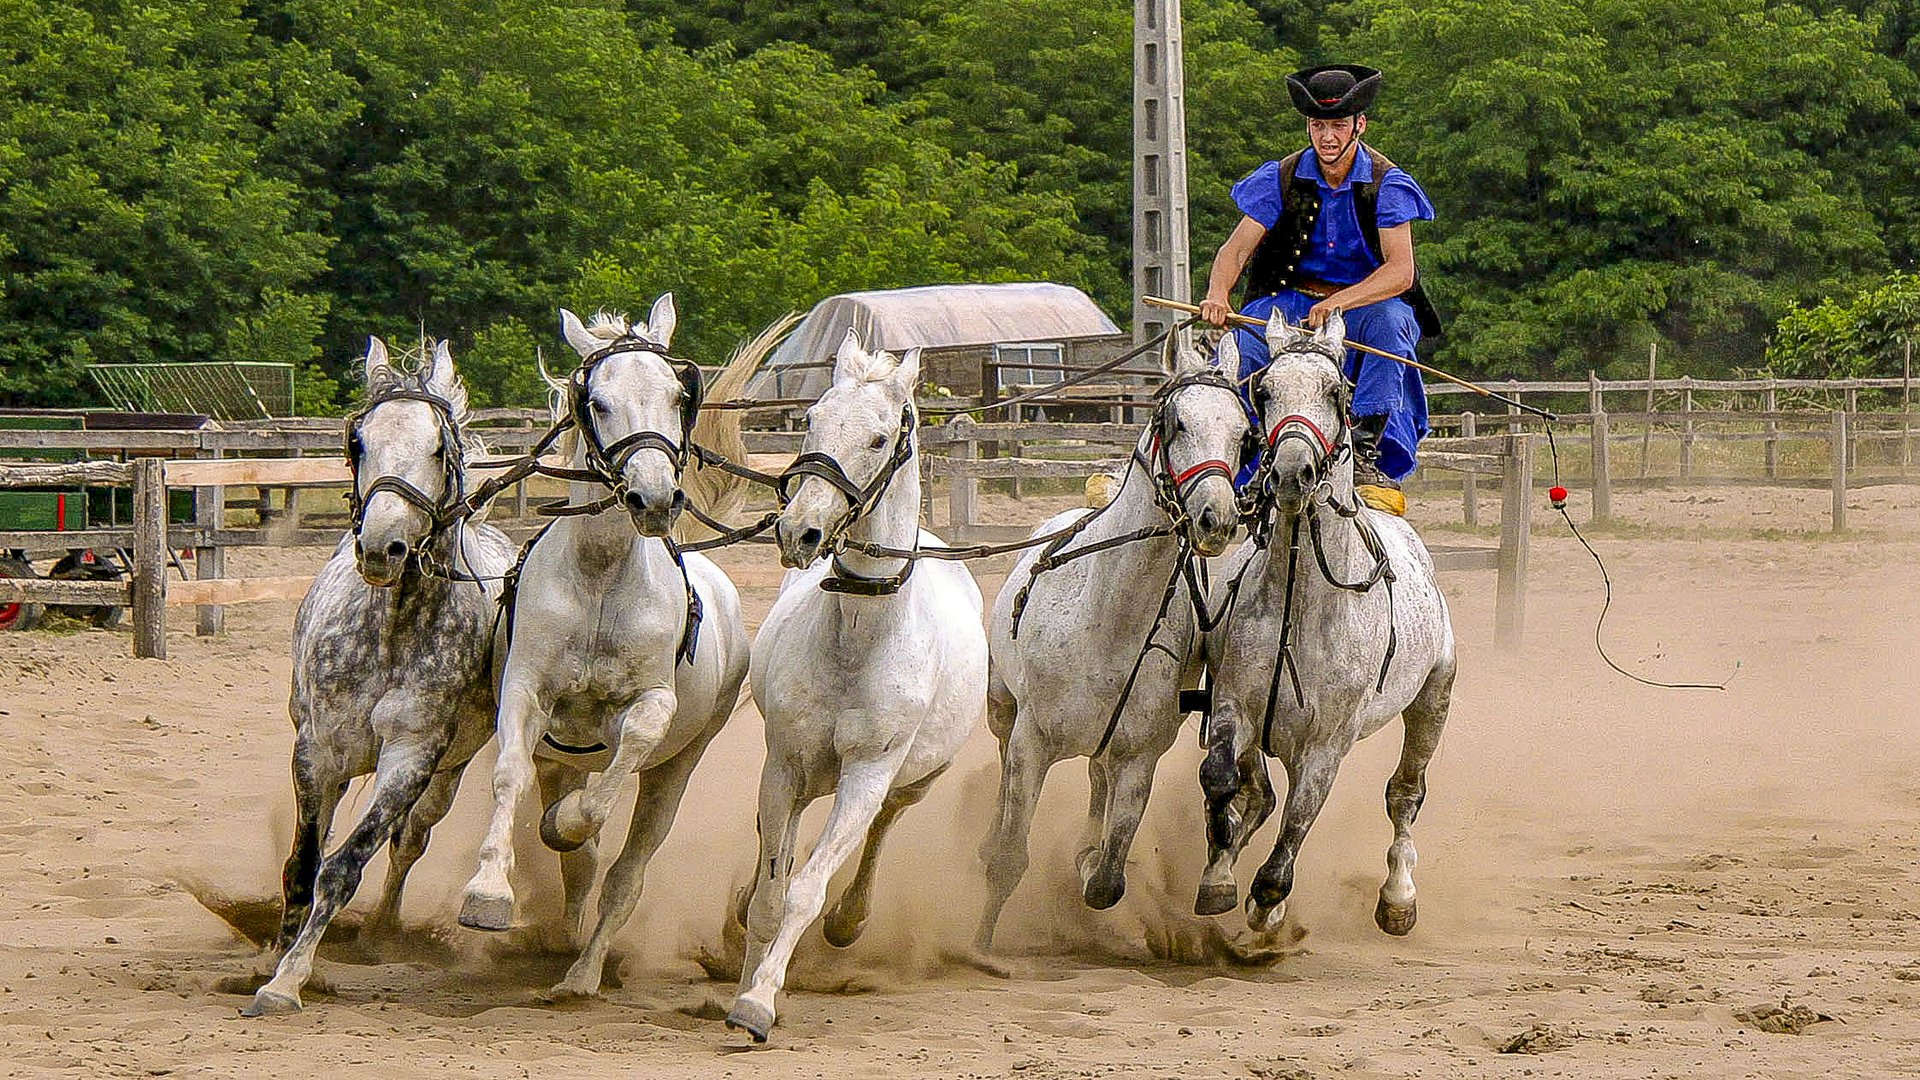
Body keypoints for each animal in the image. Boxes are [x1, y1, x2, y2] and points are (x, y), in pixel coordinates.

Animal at [247, 336, 518, 1006]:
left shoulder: (411, 758)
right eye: (358, 441)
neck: (391, 630)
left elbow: (346, 866)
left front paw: (289, 980)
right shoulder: (317, 750)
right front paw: (271, 956)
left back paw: (380, 933)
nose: (381, 548)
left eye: (439, 448)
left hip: (446, 774)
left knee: (408, 841)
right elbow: (304, 864)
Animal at [456, 295, 748, 999]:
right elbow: (510, 774)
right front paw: (487, 895)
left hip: (678, 770)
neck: (600, 578)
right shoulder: (525, 693)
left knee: (624, 874)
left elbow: (609, 784)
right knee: (581, 861)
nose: (655, 497)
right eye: (599, 402)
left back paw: (582, 974)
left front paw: (568, 822)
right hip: (564, 756)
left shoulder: (650, 708)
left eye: (677, 395)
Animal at [721, 328, 983, 1037]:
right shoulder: (784, 764)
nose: (799, 531)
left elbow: (804, 891)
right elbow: (769, 895)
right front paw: (743, 982)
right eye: (811, 420)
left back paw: (849, 920)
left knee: (879, 829)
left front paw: (758, 1002)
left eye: (878, 438)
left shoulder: (867, 773)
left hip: (911, 780)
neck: (857, 643)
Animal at [975, 332, 1259, 945]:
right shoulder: (1032, 742)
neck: (1106, 622)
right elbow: (1009, 856)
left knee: (1095, 784)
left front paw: (1087, 863)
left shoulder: (1136, 759)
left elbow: (1107, 880)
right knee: (1001, 763)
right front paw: (978, 945)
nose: (1217, 519)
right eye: (1175, 421)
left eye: (1242, 433)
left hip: (1104, 752)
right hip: (1001, 708)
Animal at [1198, 309, 1451, 933]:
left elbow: (1297, 823)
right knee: (1258, 794)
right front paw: (1218, 876)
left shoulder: (1326, 744)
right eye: (1263, 392)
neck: (1301, 603)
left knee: (1404, 794)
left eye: (1336, 392)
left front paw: (1267, 906)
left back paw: (1397, 897)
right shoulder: (1234, 705)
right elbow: (1223, 780)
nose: (1293, 474)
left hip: (1434, 698)